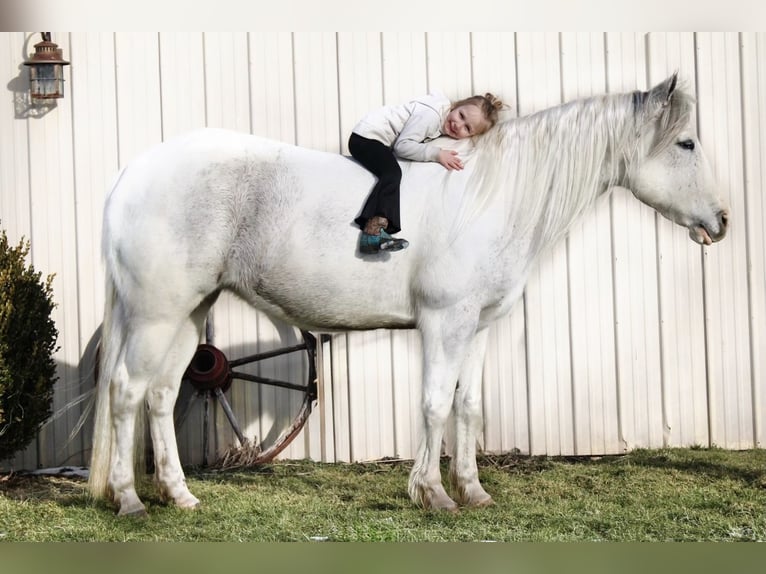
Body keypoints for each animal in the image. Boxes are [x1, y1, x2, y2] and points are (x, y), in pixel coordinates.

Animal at [90, 72, 732, 516]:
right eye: (686, 143)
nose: (722, 221)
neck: (492, 193)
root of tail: (133, 174)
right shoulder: (444, 324)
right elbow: (434, 403)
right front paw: (432, 493)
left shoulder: (478, 327)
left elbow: (468, 407)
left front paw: (473, 492)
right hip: (156, 313)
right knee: (126, 392)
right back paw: (129, 499)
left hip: (189, 314)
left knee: (160, 395)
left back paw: (180, 496)